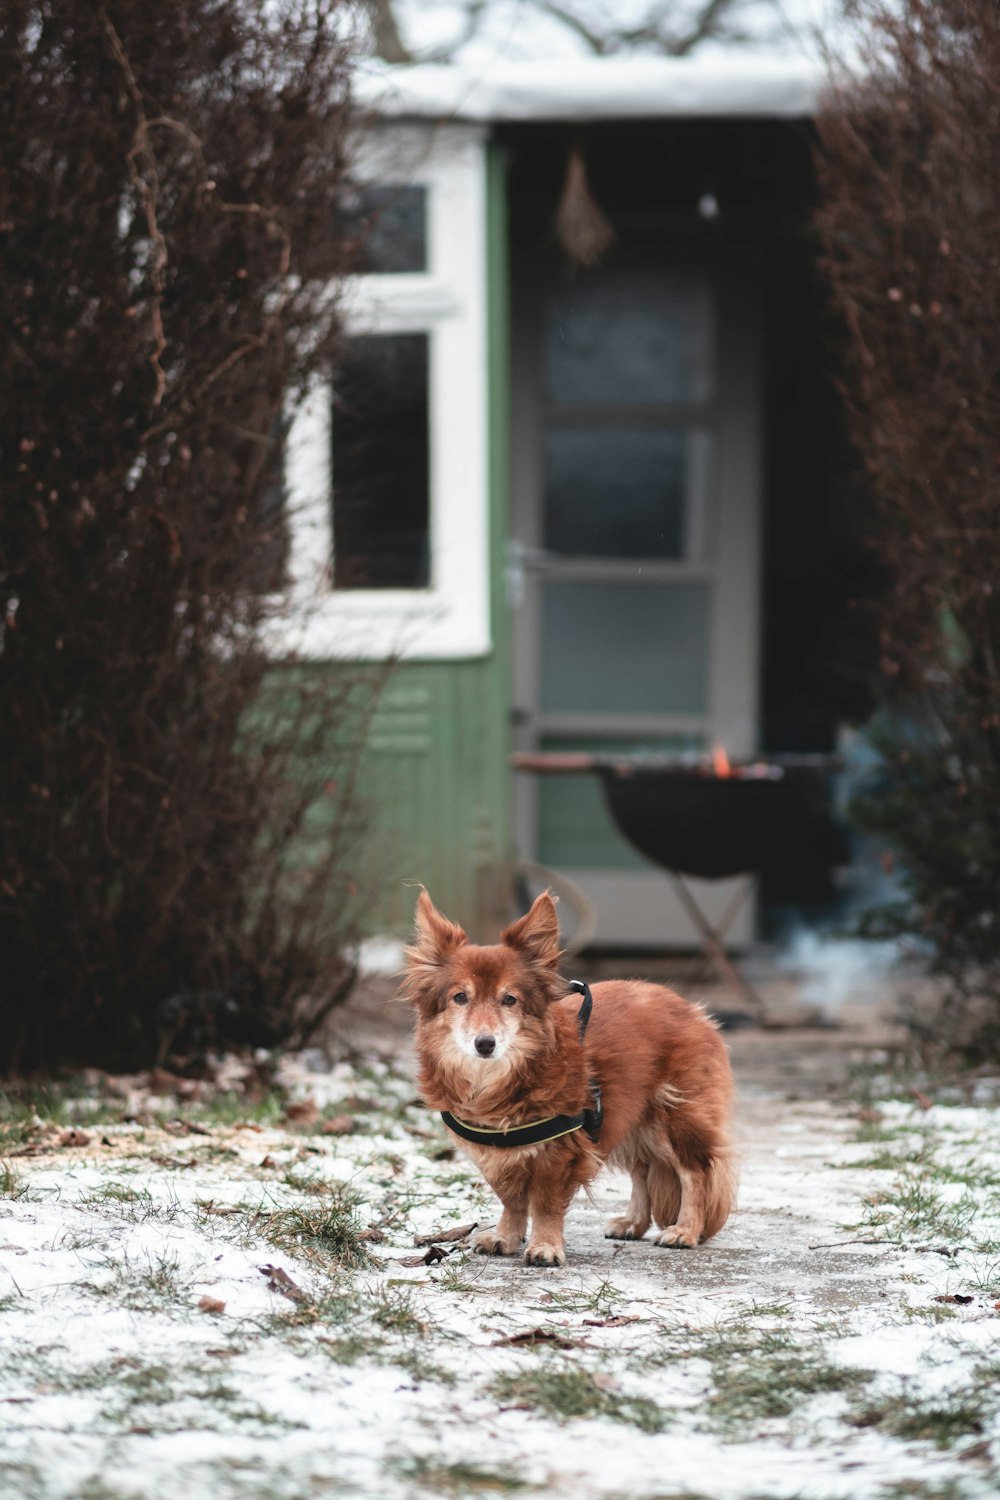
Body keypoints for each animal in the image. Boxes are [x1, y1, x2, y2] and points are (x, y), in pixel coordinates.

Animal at [398, 888, 734, 1266]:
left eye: (509, 999)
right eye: (460, 997)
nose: (485, 1044)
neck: (496, 1077)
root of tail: (693, 1010)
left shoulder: (558, 1153)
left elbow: (544, 1202)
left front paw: (544, 1246)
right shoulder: (499, 1152)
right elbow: (511, 1199)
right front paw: (505, 1237)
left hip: (675, 1117)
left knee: (694, 1173)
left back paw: (685, 1230)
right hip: (632, 1117)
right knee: (643, 1170)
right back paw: (633, 1223)